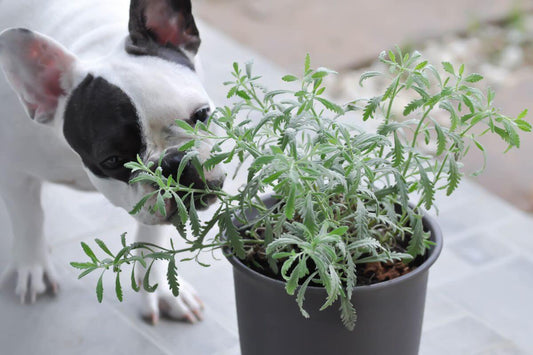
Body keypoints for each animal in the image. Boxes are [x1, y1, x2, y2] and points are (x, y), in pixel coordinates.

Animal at [0, 0, 224, 324]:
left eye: (202, 114)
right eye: (113, 160)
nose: (172, 164)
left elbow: (153, 235)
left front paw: (159, 289)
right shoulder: (15, 172)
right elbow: (29, 220)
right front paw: (33, 267)